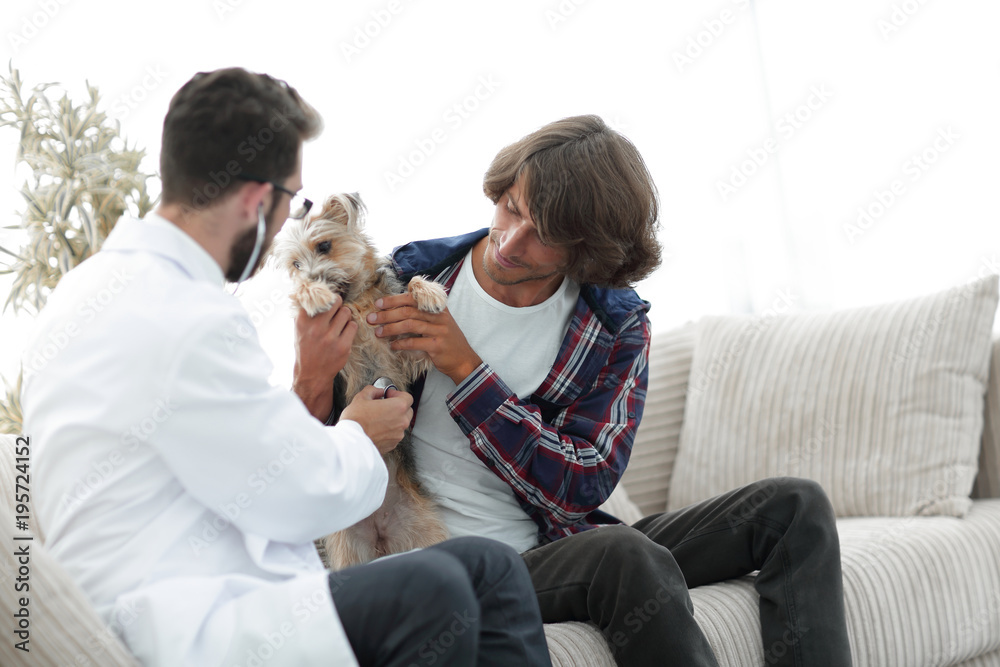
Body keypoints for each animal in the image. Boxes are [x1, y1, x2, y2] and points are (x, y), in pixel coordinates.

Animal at [270, 192, 450, 568]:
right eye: (296, 265)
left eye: (324, 245)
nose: (316, 279)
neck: (354, 302)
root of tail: (381, 534)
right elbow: (299, 297)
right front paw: (313, 295)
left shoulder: (407, 356)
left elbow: (410, 287)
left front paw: (428, 292)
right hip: (346, 550)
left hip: (425, 530)